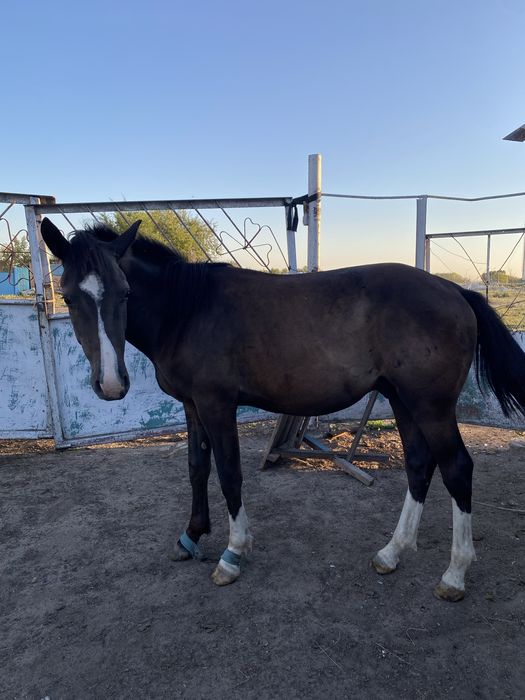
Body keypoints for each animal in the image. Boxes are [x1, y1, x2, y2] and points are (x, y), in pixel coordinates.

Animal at [40, 217, 525, 601]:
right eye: (68, 296)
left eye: (124, 293)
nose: (111, 385)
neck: (187, 310)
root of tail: (455, 290)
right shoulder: (192, 406)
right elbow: (197, 467)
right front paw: (192, 536)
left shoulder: (217, 405)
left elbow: (229, 472)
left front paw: (233, 553)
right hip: (403, 400)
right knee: (419, 465)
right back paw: (392, 552)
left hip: (431, 406)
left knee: (457, 468)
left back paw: (455, 575)